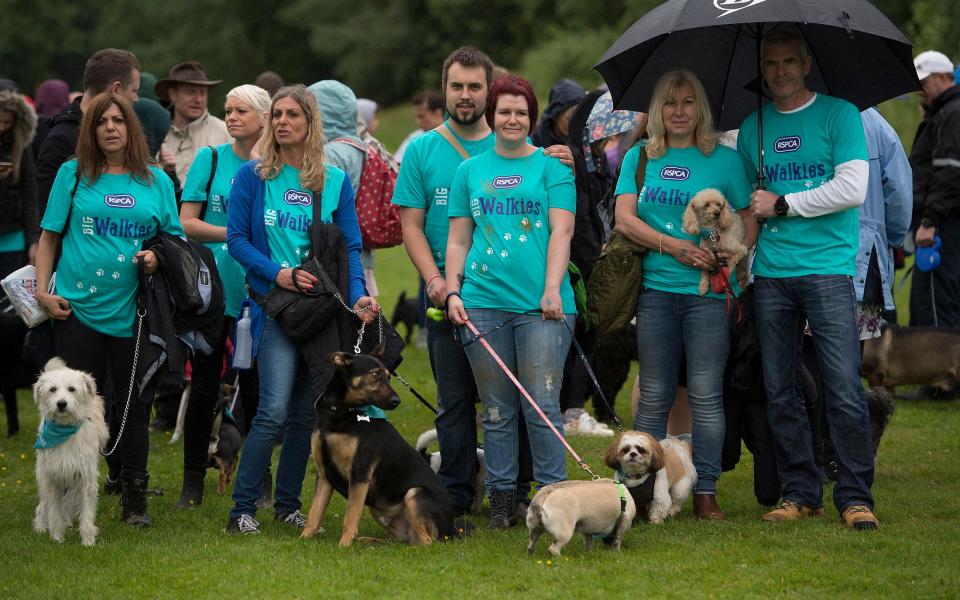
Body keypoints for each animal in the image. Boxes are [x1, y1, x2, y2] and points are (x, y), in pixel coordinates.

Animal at [32, 358, 109, 548]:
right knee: (44, 503)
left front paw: (88, 540)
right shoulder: (52, 477)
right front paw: (57, 537)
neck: (63, 430)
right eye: (52, 389)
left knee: (69, 499)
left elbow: (86, 511)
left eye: (72, 389)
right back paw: (41, 526)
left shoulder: (85, 477)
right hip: (43, 473)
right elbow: (53, 510)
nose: (61, 404)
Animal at [304, 344, 462, 548]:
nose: (397, 402)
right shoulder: (324, 474)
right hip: (379, 510)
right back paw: (369, 542)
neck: (342, 412)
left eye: (388, 376)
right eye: (375, 374)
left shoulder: (360, 475)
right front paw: (303, 539)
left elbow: (350, 517)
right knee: (404, 540)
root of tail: (452, 530)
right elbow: (314, 514)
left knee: (426, 542)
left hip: (414, 494)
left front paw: (343, 546)